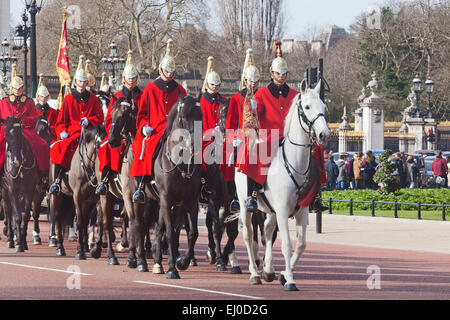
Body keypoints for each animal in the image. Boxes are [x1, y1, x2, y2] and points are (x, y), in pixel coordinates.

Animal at [0, 115, 39, 252]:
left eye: (19, 134)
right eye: (6, 134)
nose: (16, 160)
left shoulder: (30, 189)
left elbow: (26, 215)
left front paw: (23, 242)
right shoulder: (12, 189)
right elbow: (16, 215)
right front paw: (18, 244)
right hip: (4, 191)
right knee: (8, 212)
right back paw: (10, 240)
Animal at [236, 79, 330, 290]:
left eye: (323, 107)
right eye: (307, 107)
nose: (324, 135)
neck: (295, 163)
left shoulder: (302, 210)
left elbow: (301, 244)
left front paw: (283, 274)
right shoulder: (282, 209)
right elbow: (287, 244)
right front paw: (290, 281)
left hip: (271, 210)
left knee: (268, 231)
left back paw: (268, 270)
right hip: (245, 205)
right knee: (248, 235)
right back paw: (254, 273)